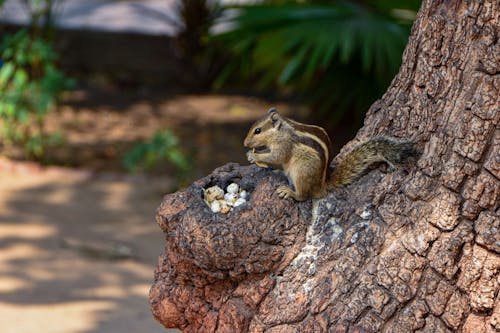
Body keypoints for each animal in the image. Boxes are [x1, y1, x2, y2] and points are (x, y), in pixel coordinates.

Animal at [244, 107, 416, 200]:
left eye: (257, 130)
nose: (245, 143)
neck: (282, 130)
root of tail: (321, 185)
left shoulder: (285, 144)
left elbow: (277, 156)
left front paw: (254, 156)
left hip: (301, 172)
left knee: (304, 195)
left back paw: (291, 192)